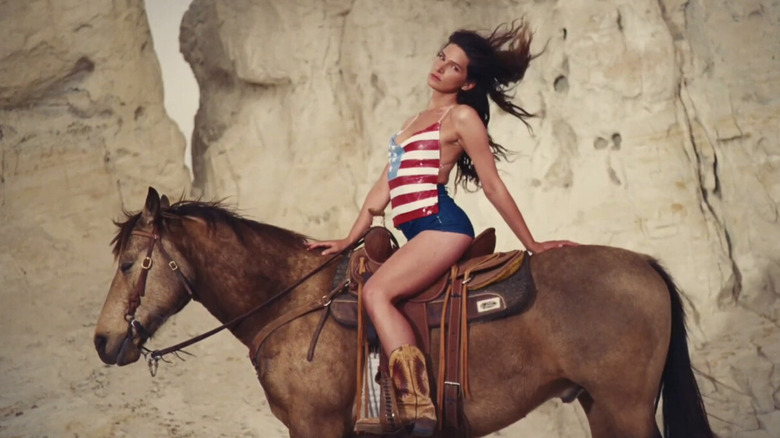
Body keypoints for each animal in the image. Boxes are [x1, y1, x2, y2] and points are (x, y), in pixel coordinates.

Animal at [94, 188, 716, 438]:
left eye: (127, 263)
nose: (102, 341)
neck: (295, 301)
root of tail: (645, 265)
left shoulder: (316, 427)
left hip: (625, 408)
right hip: (603, 408)